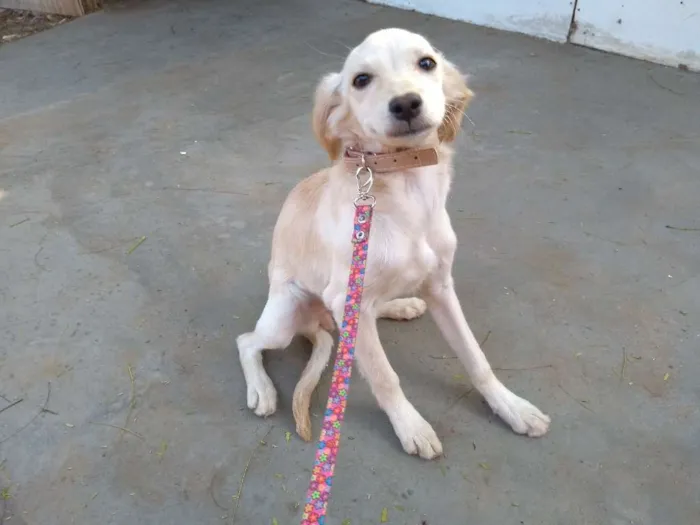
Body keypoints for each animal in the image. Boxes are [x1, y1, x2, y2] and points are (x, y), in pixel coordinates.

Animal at [238, 27, 548, 458]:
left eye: (427, 63)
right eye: (361, 80)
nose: (406, 103)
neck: (406, 189)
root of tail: (318, 322)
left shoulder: (441, 285)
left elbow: (475, 356)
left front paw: (510, 406)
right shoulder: (345, 296)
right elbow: (385, 377)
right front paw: (411, 426)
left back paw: (401, 306)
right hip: (286, 316)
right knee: (248, 341)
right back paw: (261, 389)